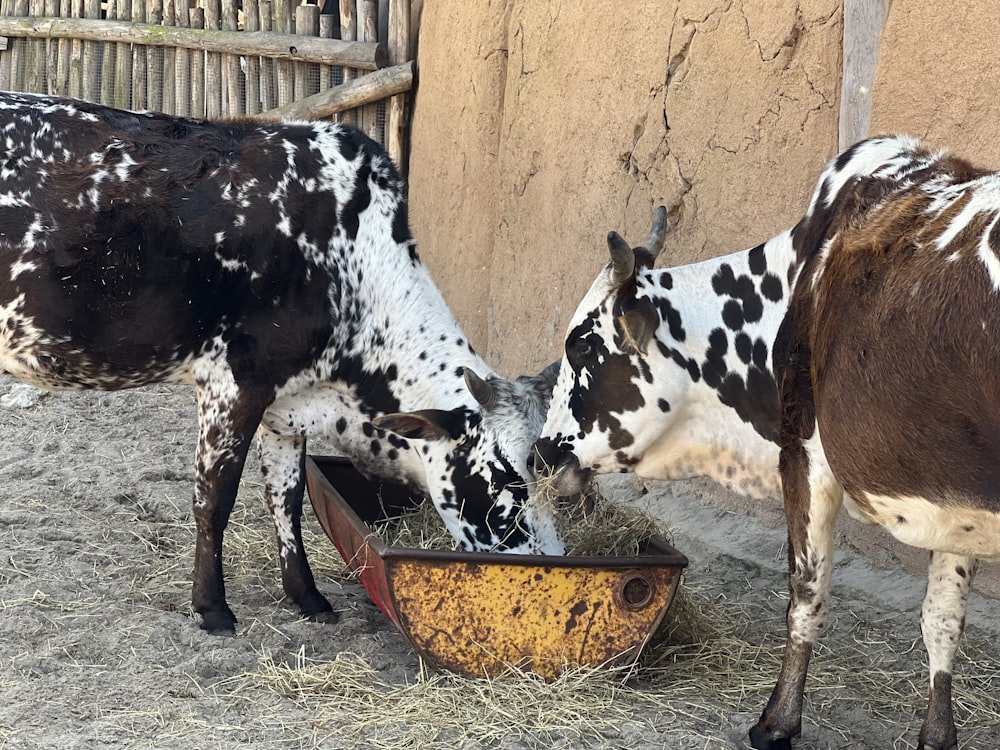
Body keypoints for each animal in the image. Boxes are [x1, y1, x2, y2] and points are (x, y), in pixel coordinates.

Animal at [0, 91, 564, 636]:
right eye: (508, 485)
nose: (551, 566)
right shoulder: (234, 383)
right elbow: (214, 500)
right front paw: (213, 608)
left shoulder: (287, 402)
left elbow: (286, 497)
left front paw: (307, 596)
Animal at [536, 137, 1000, 750]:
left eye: (583, 346)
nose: (542, 452)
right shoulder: (952, 500)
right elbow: (942, 617)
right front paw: (937, 734)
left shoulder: (803, 453)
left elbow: (807, 592)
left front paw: (777, 721)